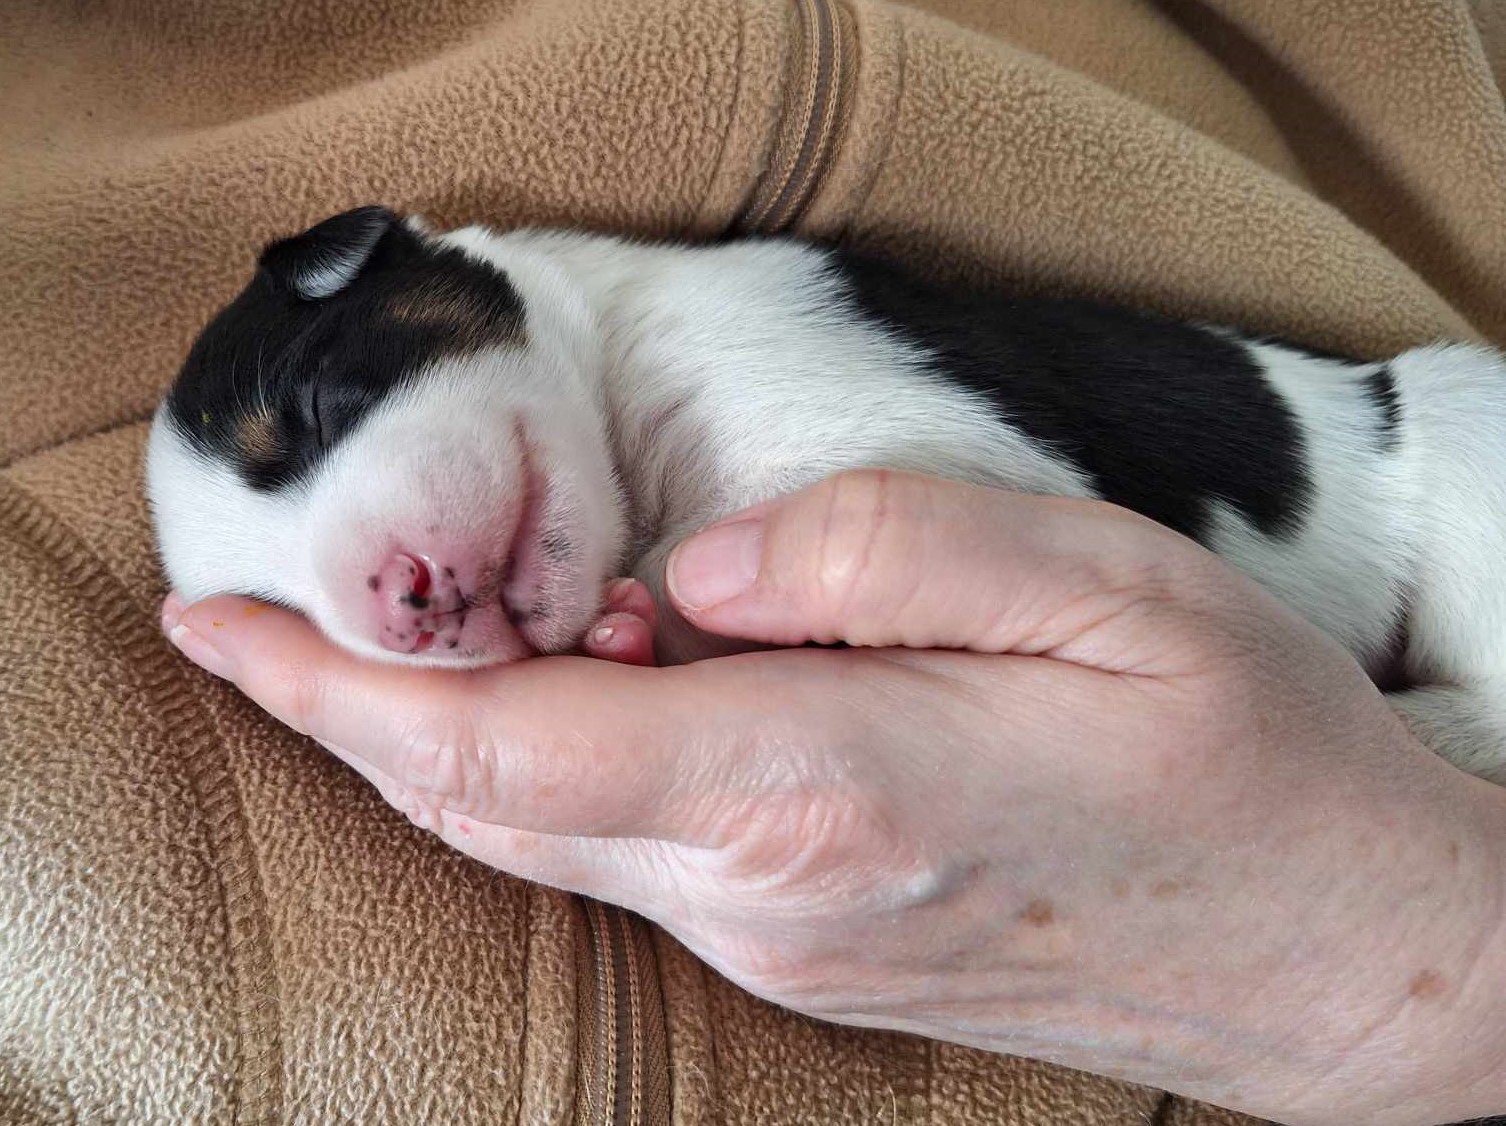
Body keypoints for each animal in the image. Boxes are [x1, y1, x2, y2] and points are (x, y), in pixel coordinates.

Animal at [146, 204, 1506, 782]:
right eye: (283, 605)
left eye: (312, 408)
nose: (401, 596)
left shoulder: (934, 436)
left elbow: (727, 542)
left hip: (1466, 443)